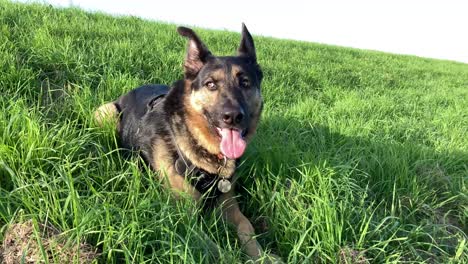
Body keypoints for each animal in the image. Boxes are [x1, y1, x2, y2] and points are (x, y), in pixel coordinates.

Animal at [93, 24, 276, 260]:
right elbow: (219, 252)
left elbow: (247, 226)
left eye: (245, 83)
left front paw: (263, 256)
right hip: (108, 113)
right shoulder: (185, 219)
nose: (233, 117)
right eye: (210, 84)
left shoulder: (228, 203)